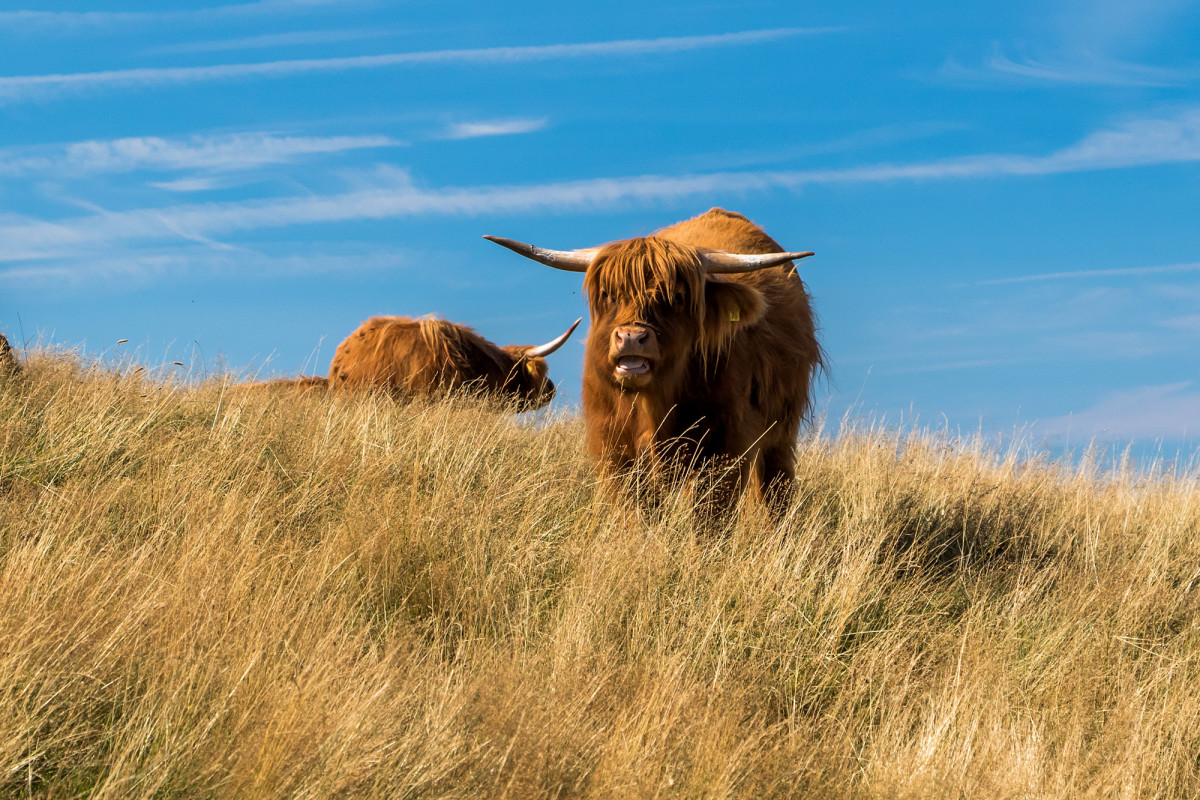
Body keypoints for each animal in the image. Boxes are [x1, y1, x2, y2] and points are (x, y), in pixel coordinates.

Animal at [482, 206, 820, 513]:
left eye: (676, 298)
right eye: (609, 294)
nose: (631, 337)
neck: (652, 403)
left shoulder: (724, 448)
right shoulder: (615, 449)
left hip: (780, 434)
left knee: (776, 491)